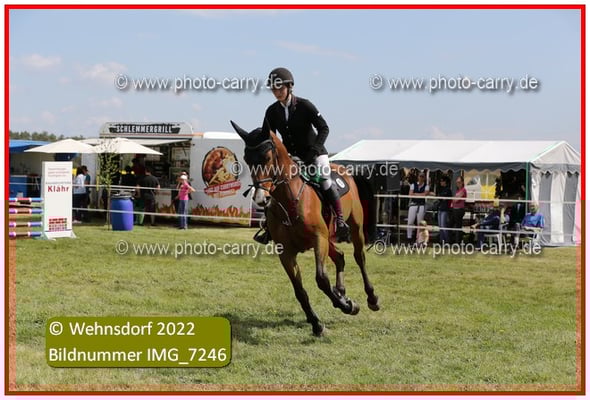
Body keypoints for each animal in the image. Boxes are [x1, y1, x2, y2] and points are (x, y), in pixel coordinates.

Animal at [230, 121, 380, 336]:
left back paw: (371, 298)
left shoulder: (318, 239)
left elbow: (321, 279)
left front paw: (347, 306)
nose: (261, 199)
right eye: (246, 160)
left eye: (267, 158)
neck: (289, 201)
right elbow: (299, 290)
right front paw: (317, 323)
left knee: (359, 258)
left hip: (354, 228)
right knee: (340, 257)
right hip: (329, 236)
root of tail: (344, 170)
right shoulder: (286, 252)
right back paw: (341, 292)